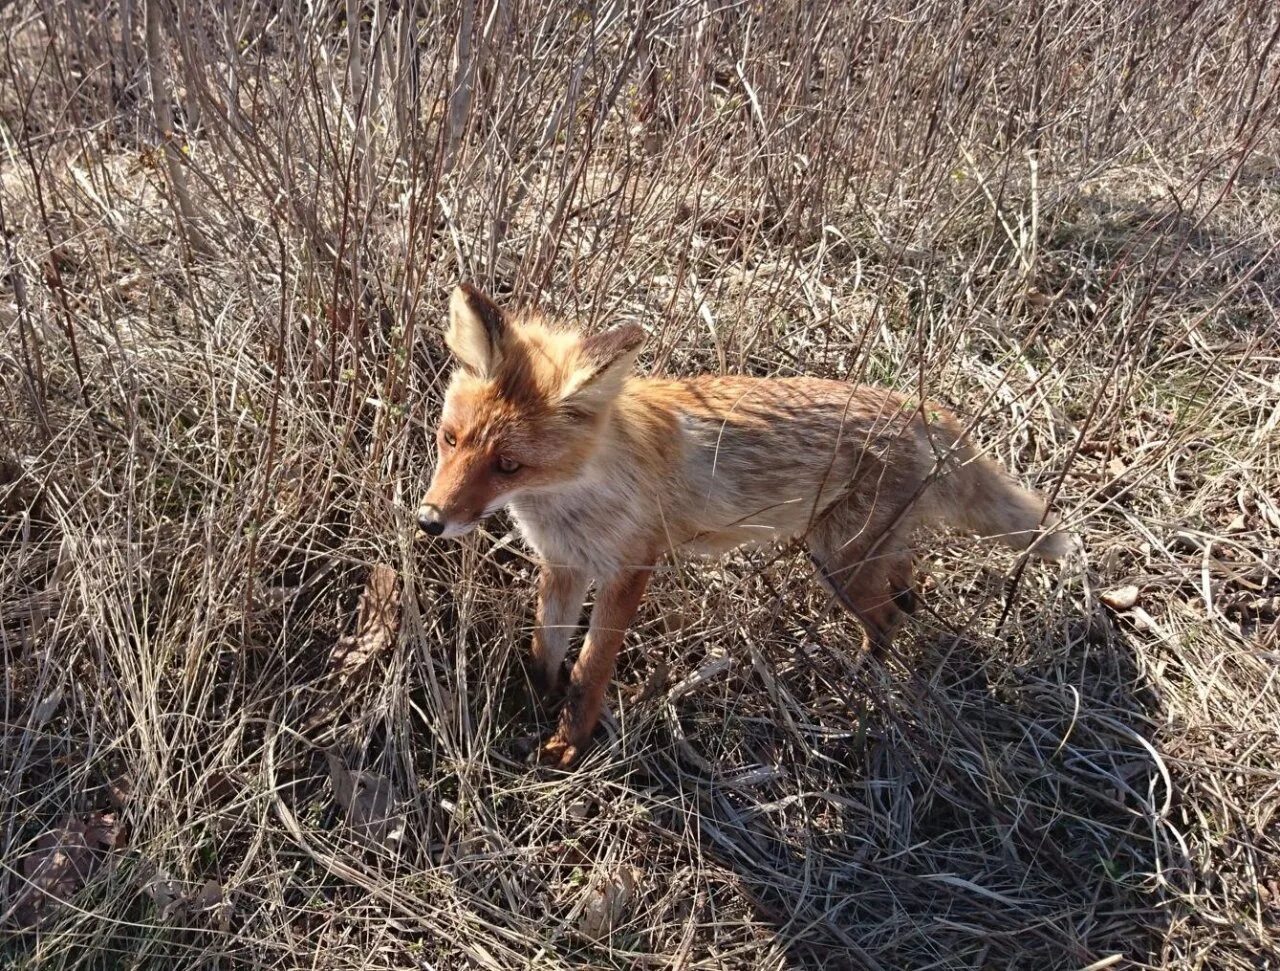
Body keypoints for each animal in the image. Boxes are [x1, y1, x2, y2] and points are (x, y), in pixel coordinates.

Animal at [419, 285, 1070, 772]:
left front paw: (566, 744)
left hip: (838, 562)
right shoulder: (564, 564)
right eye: (449, 440)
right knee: (905, 579)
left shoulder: (630, 568)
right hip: (861, 551)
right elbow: (545, 650)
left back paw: (864, 680)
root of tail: (919, 409)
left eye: (508, 466)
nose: (429, 522)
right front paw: (532, 703)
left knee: (886, 619)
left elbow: (590, 668)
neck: (571, 495)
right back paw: (906, 603)